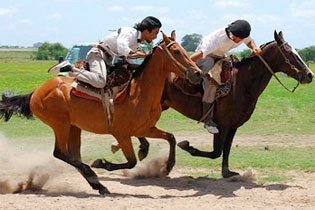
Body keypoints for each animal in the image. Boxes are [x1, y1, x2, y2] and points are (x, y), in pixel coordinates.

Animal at [0, 32, 202, 194]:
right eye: (177, 51)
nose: (197, 73)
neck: (138, 92)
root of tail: (35, 92)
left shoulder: (145, 128)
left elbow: (171, 138)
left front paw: (167, 167)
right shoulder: (122, 134)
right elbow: (131, 161)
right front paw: (102, 163)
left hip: (74, 128)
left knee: (73, 156)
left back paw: (97, 184)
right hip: (60, 125)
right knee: (60, 153)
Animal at [135, 31, 314, 178]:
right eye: (288, 52)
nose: (309, 75)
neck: (242, 83)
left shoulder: (233, 126)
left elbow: (226, 149)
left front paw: (227, 172)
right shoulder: (222, 125)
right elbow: (216, 151)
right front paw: (187, 146)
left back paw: (143, 148)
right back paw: (144, 149)